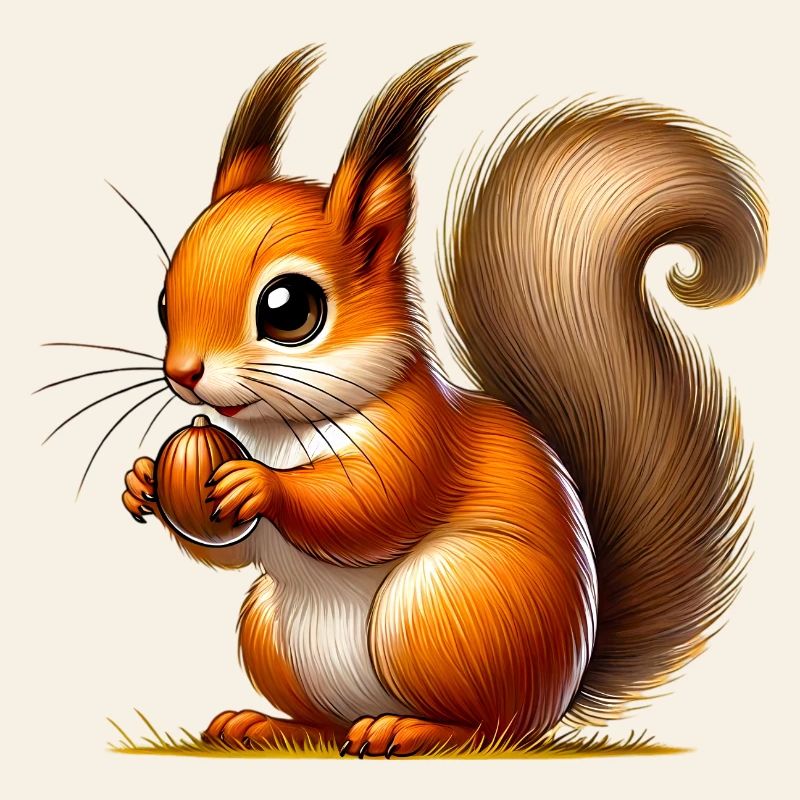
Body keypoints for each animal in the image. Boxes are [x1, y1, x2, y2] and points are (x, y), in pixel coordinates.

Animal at [121, 44, 767, 757]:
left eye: (289, 309)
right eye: (162, 301)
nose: (183, 374)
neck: (277, 428)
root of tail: (557, 695)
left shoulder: (421, 440)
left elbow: (370, 507)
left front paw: (258, 484)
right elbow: (231, 552)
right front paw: (143, 480)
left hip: (446, 606)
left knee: (489, 728)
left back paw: (409, 730)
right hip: (270, 630)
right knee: (329, 721)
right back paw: (267, 724)